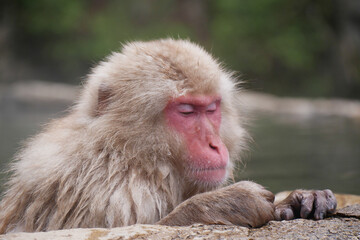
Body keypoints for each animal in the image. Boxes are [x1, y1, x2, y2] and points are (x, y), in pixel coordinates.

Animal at [0, 39, 338, 232]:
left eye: (211, 108)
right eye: (186, 111)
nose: (215, 145)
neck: (129, 154)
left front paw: (299, 199)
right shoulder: (105, 192)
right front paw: (228, 203)